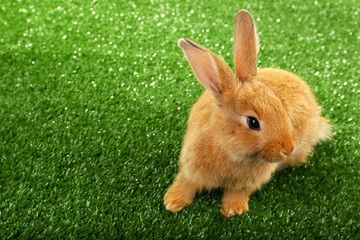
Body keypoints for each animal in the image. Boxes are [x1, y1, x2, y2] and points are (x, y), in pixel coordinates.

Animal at [165, 9, 330, 218]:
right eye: (253, 122)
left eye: (280, 105)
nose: (288, 148)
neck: (228, 150)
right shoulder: (191, 168)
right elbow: (186, 183)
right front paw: (172, 202)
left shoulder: (245, 183)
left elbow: (238, 192)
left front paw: (233, 210)